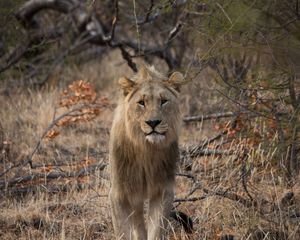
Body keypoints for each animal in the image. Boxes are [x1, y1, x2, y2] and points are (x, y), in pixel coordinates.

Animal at [109, 65, 185, 240]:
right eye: (141, 103)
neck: (146, 150)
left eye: (163, 101)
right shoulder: (119, 193)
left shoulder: (162, 190)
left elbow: (156, 230)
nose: (153, 122)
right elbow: (123, 232)